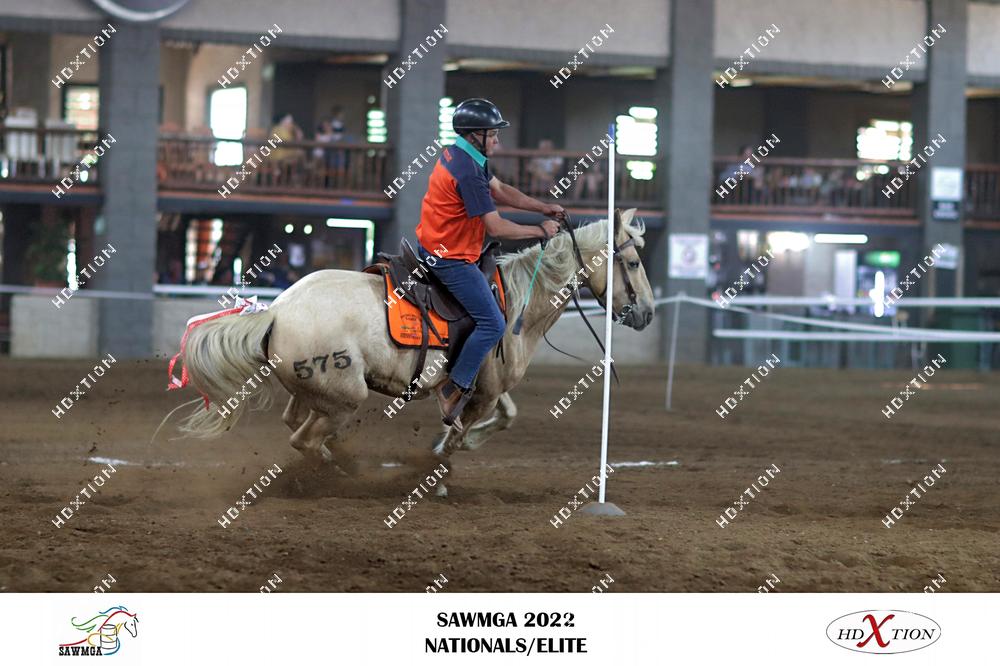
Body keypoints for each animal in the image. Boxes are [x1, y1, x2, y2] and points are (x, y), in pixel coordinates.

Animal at [172, 208, 655, 497]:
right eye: (632, 263)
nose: (647, 312)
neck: (517, 302)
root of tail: (277, 311)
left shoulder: (487, 386)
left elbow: (505, 416)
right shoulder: (480, 392)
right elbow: (458, 436)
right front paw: (436, 471)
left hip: (315, 394)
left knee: (299, 427)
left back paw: (343, 465)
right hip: (344, 397)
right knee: (302, 439)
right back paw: (343, 474)